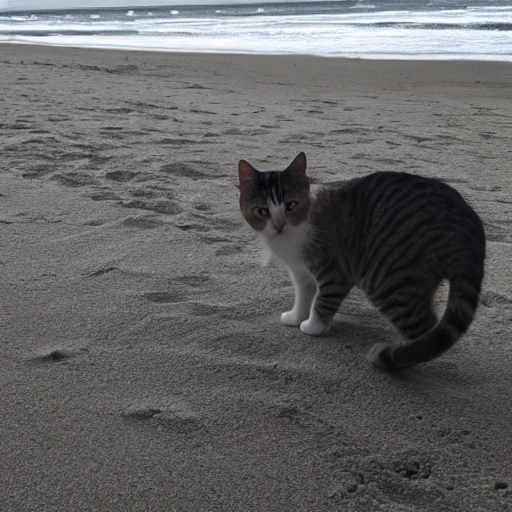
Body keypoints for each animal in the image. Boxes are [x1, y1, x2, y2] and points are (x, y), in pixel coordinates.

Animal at [238, 152, 486, 368]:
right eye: (262, 211)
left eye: (290, 205)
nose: (279, 225)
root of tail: (470, 227)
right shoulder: (300, 270)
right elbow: (303, 294)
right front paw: (296, 316)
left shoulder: (334, 271)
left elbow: (322, 301)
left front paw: (313, 327)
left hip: (390, 281)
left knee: (425, 330)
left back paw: (399, 356)